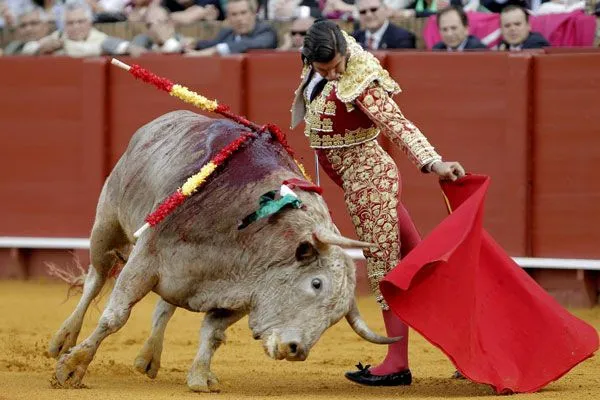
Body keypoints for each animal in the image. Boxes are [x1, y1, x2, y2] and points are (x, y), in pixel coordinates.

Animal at [49, 111, 400, 392]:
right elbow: (115, 317)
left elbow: (212, 333)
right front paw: (72, 367)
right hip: (106, 224)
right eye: (316, 283)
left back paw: (149, 357)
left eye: (335, 317)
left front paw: (200, 378)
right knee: (95, 280)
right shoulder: (146, 259)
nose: (295, 349)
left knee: (163, 307)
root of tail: (158, 124)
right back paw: (63, 340)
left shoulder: (243, 294)